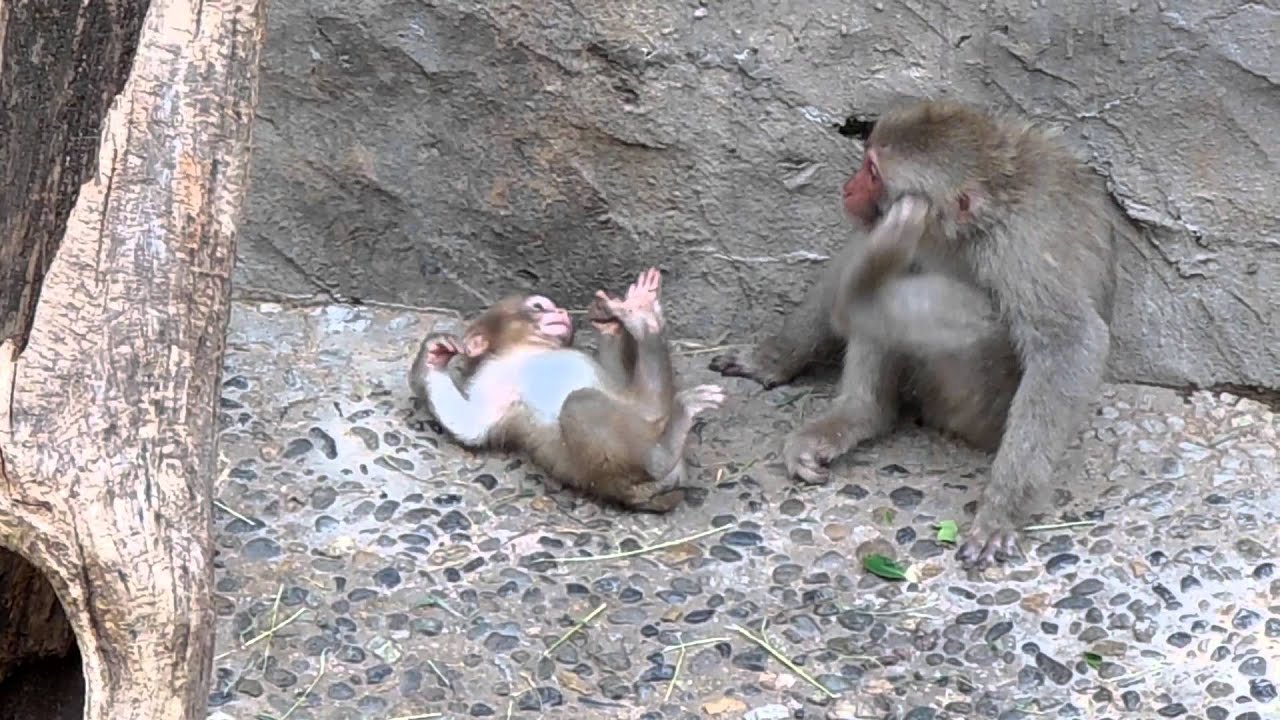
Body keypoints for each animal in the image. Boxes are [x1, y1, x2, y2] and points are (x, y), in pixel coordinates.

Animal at [410, 268, 725, 513]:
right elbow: (470, 424)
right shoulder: (491, 377)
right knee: (582, 402)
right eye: (538, 307)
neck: (525, 350)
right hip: (627, 448)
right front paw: (432, 356)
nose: (561, 311)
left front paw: (609, 326)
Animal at [711, 100, 1122, 568]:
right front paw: (774, 357)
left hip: (973, 404)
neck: (974, 222)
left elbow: (1069, 341)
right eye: (865, 161)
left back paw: (865, 300)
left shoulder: (1021, 252)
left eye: (872, 172)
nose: (847, 188)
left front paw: (1002, 509)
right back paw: (860, 412)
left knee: (969, 315)